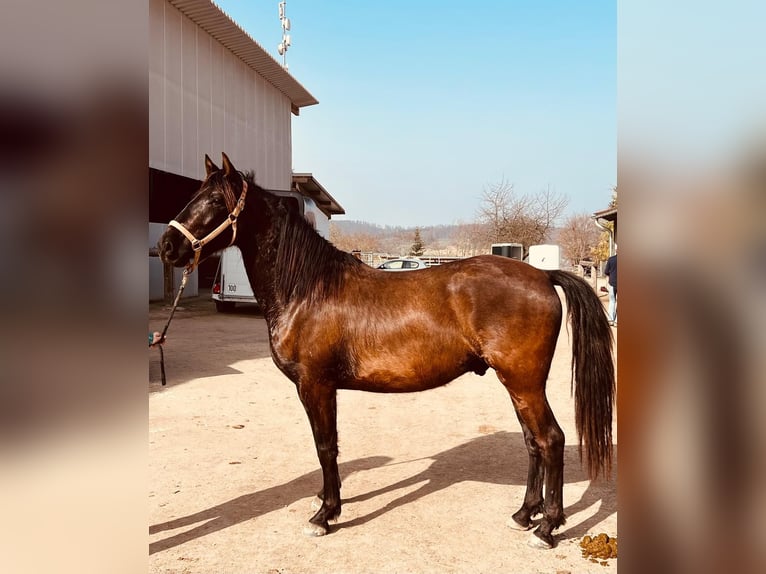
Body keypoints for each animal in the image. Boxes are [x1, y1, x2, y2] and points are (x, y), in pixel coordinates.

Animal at [158, 153, 615, 549]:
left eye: (215, 201)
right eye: (194, 194)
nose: (166, 246)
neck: (308, 288)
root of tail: (542, 275)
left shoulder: (315, 386)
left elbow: (325, 446)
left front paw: (324, 515)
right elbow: (328, 447)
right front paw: (328, 504)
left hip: (524, 381)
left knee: (551, 440)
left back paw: (547, 528)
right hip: (517, 384)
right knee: (532, 442)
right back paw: (524, 515)